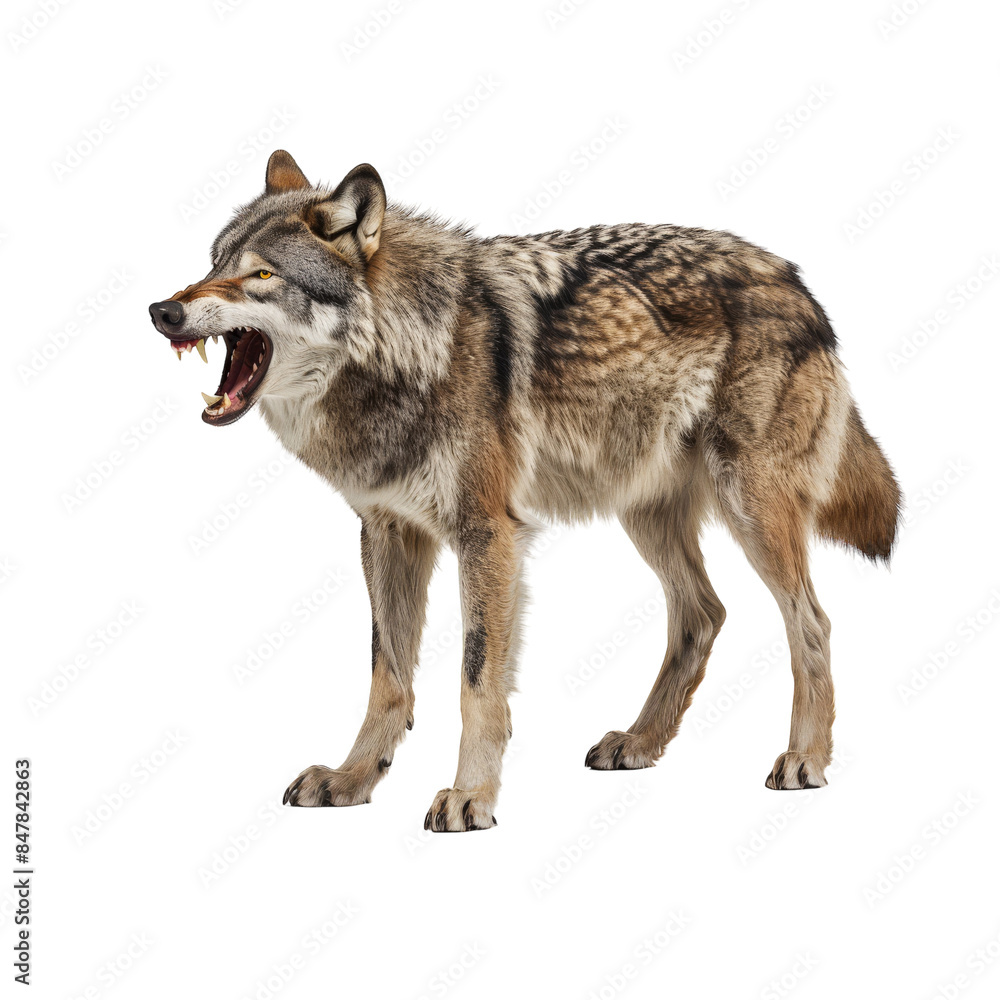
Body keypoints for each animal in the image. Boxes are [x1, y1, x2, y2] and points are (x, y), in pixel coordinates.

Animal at [149, 150, 901, 831]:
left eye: (261, 276)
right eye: (213, 264)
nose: (161, 311)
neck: (411, 350)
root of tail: (796, 279)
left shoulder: (487, 533)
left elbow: (476, 681)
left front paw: (470, 796)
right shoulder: (389, 532)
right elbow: (388, 678)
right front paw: (353, 779)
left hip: (751, 510)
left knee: (811, 621)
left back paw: (805, 759)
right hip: (643, 514)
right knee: (704, 613)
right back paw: (640, 742)